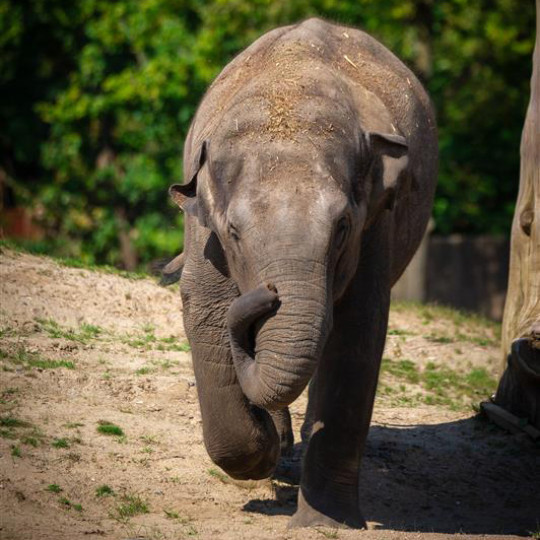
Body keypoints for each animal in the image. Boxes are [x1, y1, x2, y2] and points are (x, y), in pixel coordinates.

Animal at [171, 17, 436, 528]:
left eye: (342, 226)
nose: (269, 295)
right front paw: (266, 451)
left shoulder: (377, 222)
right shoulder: (202, 232)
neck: (288, 91)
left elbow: (356, 335)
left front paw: (324, 524)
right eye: (233, 232)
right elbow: (207, 310)